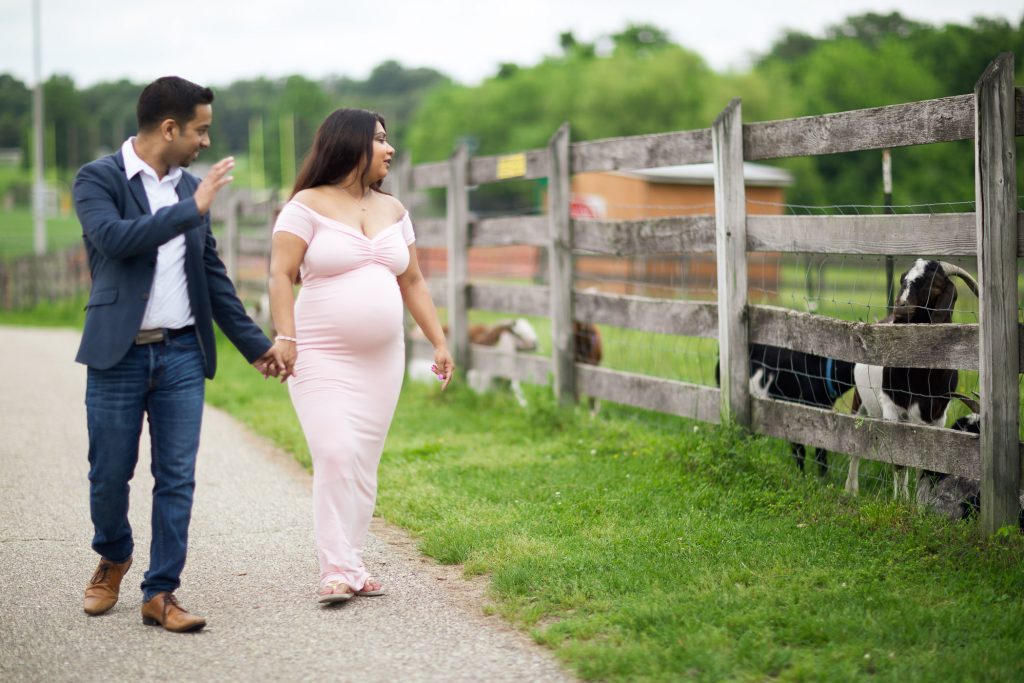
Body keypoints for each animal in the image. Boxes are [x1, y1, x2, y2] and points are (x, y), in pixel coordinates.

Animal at [843, 259, 978, 499]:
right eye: (902, 279)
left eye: (933, 283)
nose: (900, 308)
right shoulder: (892, 409)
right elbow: (900, 462)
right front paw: (902, 501)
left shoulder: (938, 415)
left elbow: (923, 463)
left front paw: (920, 500)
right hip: (859, 401)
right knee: (855, 445)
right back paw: (851, 489)